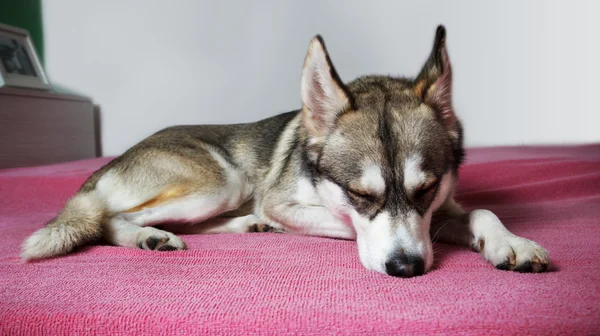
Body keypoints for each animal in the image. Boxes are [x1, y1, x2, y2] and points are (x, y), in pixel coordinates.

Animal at [22, 26, 548, 276]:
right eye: (359, 194)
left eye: (427, 188)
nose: (408, 268)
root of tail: (111, 163)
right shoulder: (284, 201)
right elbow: (343, 224)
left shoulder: (441, 207)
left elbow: (479, 212)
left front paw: (510, 242)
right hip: (223, 181)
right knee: (108, 219)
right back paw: (148, 236)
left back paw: (241, 226)